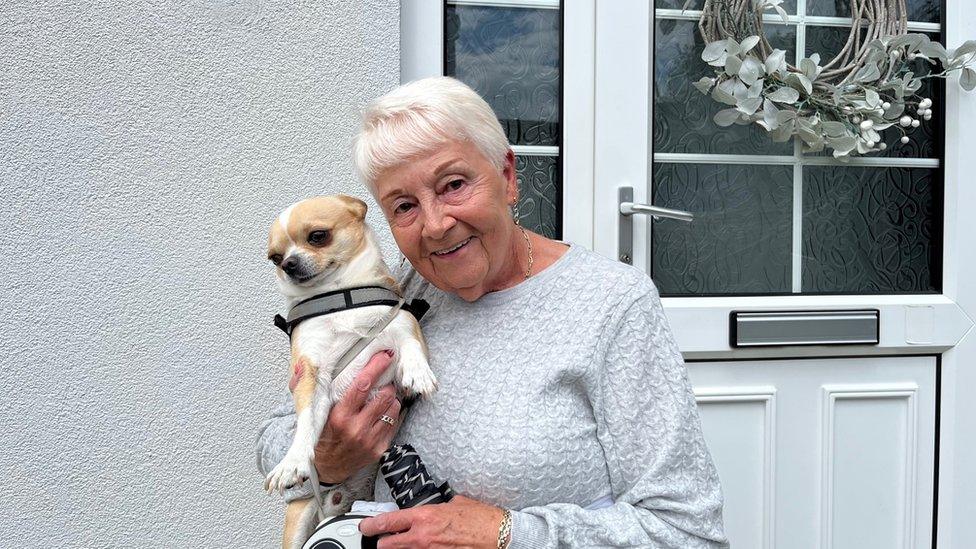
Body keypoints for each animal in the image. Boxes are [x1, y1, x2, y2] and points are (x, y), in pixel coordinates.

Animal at [264, 195, 436, 544]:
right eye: (275, 258)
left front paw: (417, 372)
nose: (288, 264)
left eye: (318, 236)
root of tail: (338, 503)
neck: (340, 295)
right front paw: (292, 461)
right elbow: (305, 423)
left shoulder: (402, 323)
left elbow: (410, 341)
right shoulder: (311, 377)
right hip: (299, 520)